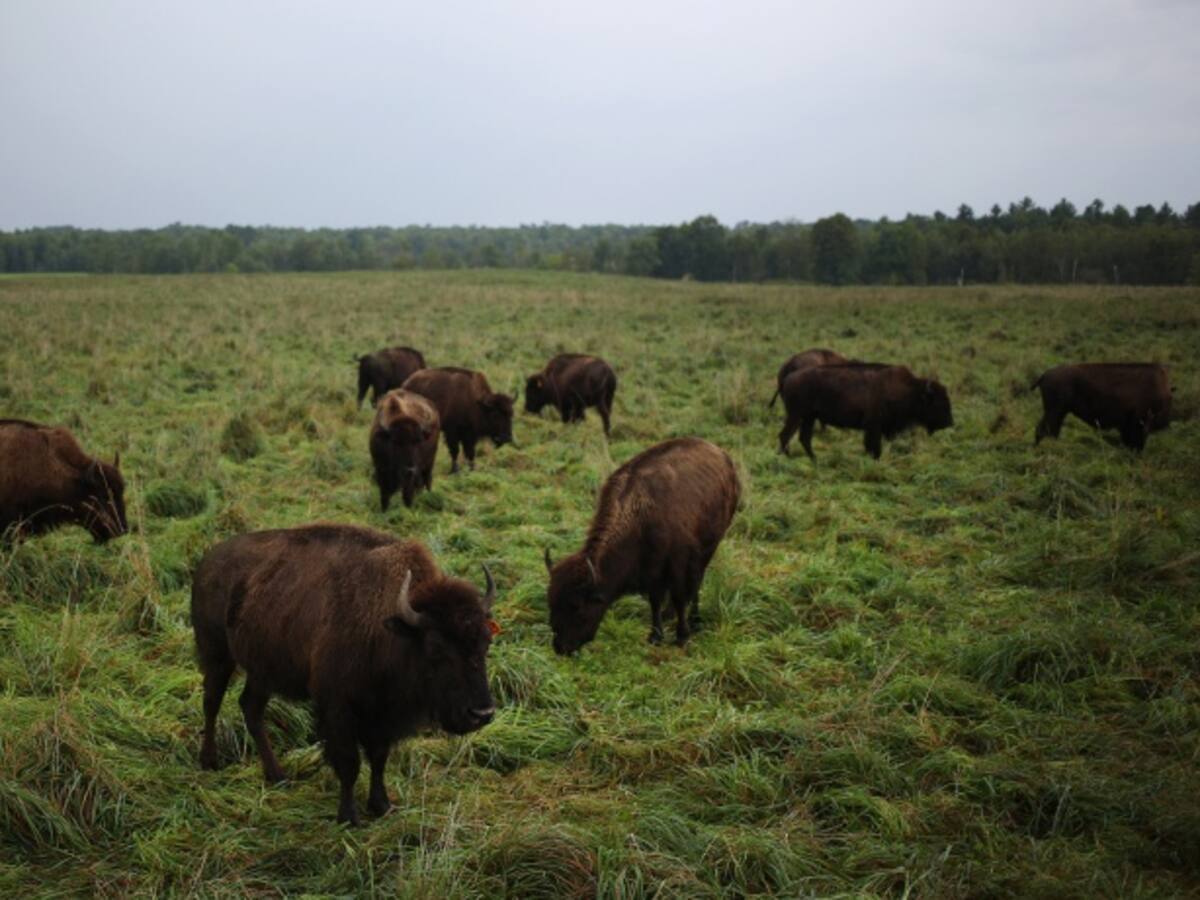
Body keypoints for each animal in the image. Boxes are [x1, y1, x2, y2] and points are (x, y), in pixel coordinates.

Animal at [191, 524, 499, 825]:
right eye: (435, 647)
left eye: (486, 641)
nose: (481, 714)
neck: (391, 630)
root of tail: (208, 561)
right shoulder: (338, 708)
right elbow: (349, 762)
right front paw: (348, 817)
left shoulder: (382, 715)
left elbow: (378, 758)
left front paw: (382, 806)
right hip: (217, 654)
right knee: (212, 701)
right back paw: (209, 761)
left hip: (262, 670)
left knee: (251, 708)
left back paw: (277, 776)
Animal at [546, 437, 740, 653]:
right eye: (551, 601)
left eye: (577, 606)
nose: (560, 647)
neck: (640, 516)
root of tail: (722, 455)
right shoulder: (653, 572)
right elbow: (655, 601)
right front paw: (655, 636)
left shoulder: (678, 562)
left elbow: (680, 596)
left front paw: (682, 637)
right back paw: (669, 614)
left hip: (709, 547)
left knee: (697, 581)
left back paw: (695, 620)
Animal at [778, 363, 953, 460]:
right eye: (937, 403)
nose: (950, 422)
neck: (911, 391)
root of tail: (789, 378)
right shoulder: (873, 427)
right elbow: (875, 448)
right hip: (796, 415)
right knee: (786, 435)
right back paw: (786, 458)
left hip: (809, 417)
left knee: (804, 438)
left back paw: (815, 460)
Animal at [1032, 363, 1171, 451]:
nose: (1138, 451)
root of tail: (1045, 374)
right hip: (1055, 411)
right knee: (1044, 429)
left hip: (1059, 412)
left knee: (1050, 430)